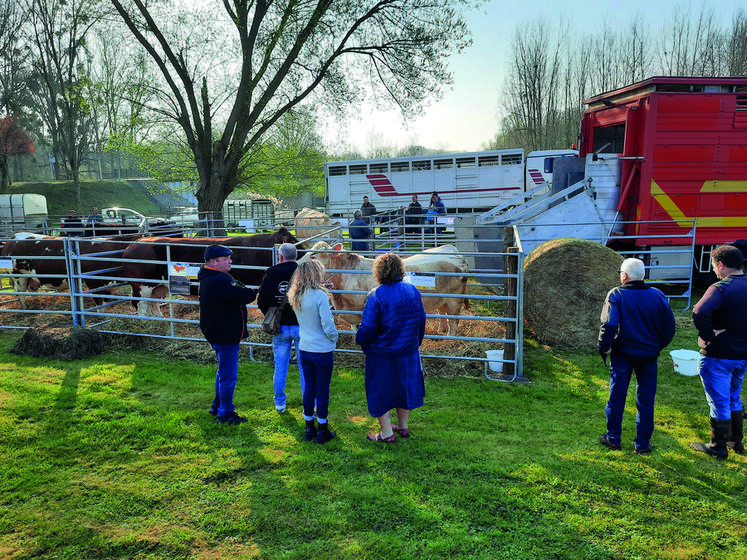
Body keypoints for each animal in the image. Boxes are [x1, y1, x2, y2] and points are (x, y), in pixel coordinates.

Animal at [120, 228, 300, 316]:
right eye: (293, 241)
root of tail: (135, 243)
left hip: (159, 286)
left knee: (154, 303)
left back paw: (161, 321)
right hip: (142, 285)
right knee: (142, 306)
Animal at [300, 242, 470, 336]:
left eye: (314, 255)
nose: (299, 262)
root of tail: (455, 252)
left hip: (455, 300)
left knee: (453, 321)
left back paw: (449, 337)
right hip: (442, 299)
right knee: (442, 313)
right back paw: (440, 331)